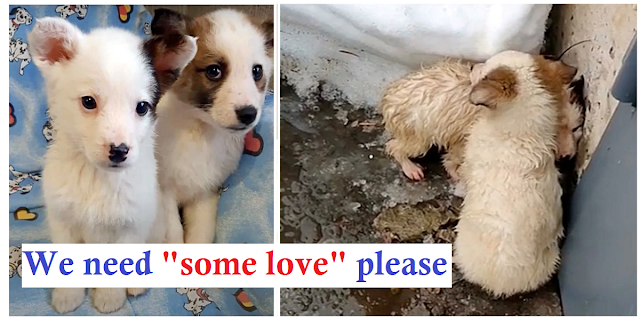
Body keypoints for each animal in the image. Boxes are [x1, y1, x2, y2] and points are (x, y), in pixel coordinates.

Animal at [28, 16, 198, 312]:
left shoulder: (131, 226)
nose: (119, 151)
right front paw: (68, 296)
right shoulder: (63, 220)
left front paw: (110, 297)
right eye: (88, 101)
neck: (96, 178)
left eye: (142, 107)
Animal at [151, 8, 274, 244]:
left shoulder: (205, 195)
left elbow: (201, 235)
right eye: (213, 70)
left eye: (257, 71)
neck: (200, 132)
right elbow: (173, 237)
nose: (249, 114)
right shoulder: (163, 193)